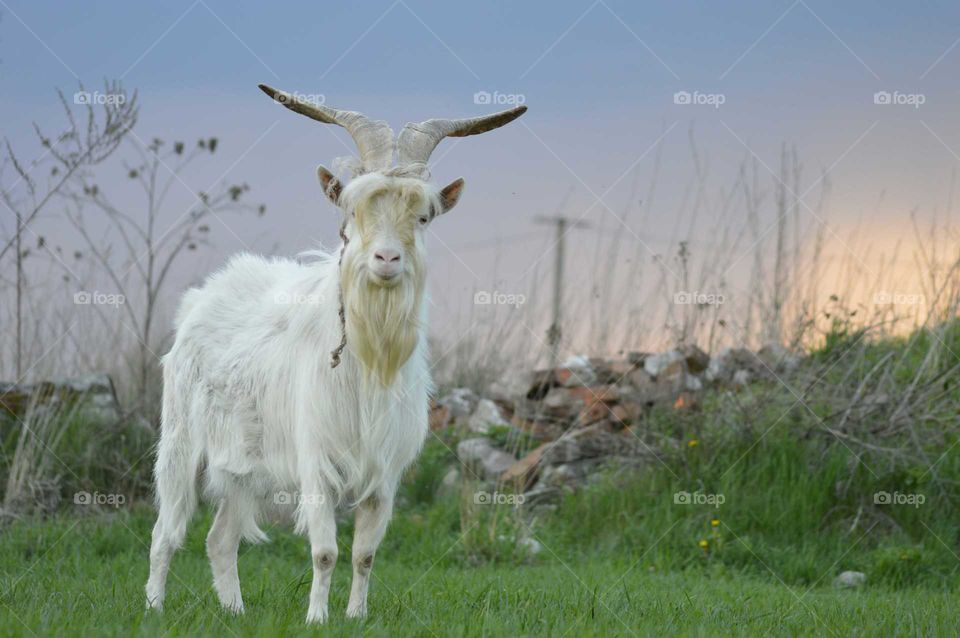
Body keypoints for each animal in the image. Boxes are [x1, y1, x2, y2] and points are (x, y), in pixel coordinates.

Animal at [142, 85, 524, 624]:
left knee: (220, 540)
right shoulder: (315, 463)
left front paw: (356, 616)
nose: (386, 258)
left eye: (422, 217)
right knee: (166, 532)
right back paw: (154, 606)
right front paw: (317, 618)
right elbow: (325, 551)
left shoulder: (383, 476)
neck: (366, 365)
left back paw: (235, 611)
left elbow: (365, 554)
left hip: (243, 469)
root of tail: (202, 298)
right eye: (353, 214)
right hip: (181, 445)